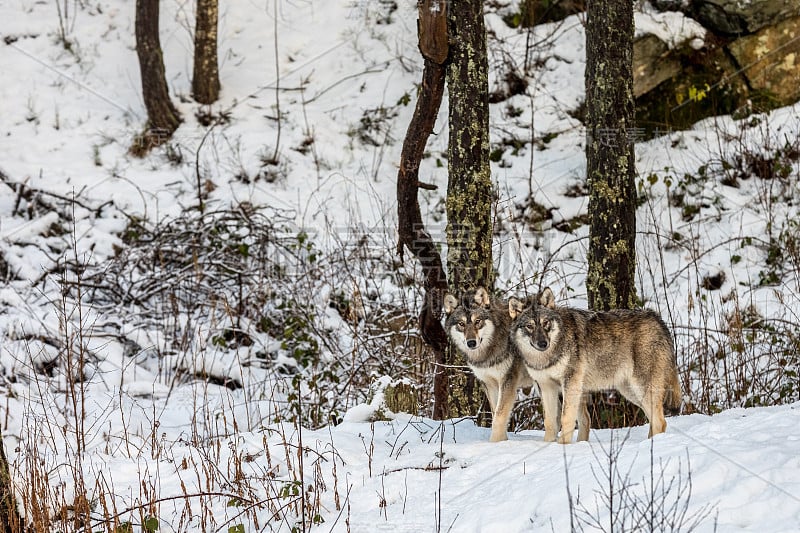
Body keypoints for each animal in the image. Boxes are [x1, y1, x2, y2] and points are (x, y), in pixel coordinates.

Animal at [444, 286, 532, 440]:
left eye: (477, 321)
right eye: (461, 324)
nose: (471, 343)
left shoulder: (508, 381)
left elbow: (499, 415)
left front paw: (495, 442)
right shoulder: (490, 384)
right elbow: (495, 413)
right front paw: (502, 441)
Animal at [510, 288, 680, 442]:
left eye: (546, 323)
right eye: (530, 326)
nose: (543, 343)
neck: (545, 358)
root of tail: (657, 318)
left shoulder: (570, 383)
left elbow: (566, 419)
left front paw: (562, 447)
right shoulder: (546, 387)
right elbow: (550, 423)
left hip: (641, 388)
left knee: (660, 422)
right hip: (630, 392)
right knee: (654, 419)